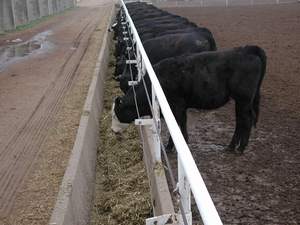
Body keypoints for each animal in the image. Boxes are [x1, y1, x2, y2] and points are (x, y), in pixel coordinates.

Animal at [111, 46, 266, 155]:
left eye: (115, 113)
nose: (113, 131)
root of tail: (247, 49)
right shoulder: (182, 107)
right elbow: (183, 125)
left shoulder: (176, 107)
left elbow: (178, 126)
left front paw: (170, 147)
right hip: (242, 101)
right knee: (241, 121)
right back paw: (232, 146)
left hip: (243, 99)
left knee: (245, 120)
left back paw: (240, 148)